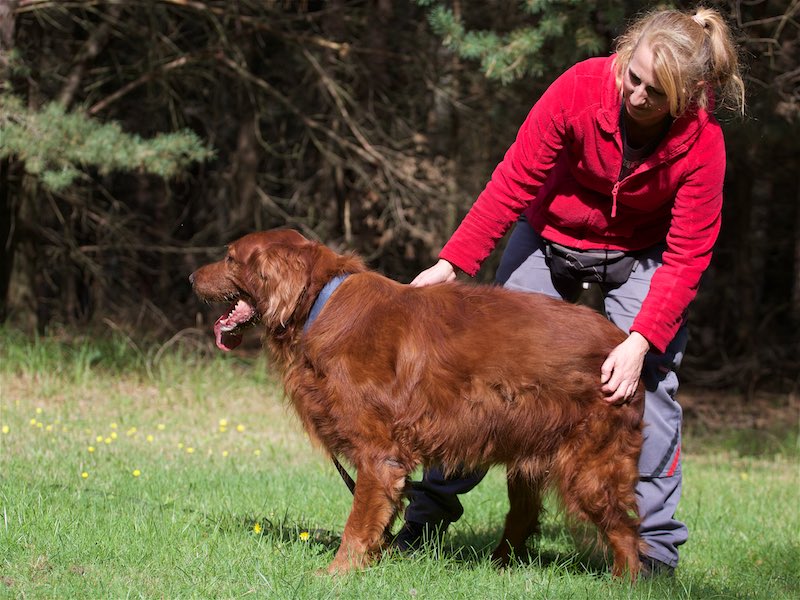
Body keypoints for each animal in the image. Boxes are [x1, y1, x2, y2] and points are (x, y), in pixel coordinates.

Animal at [190, 228, 644, 578]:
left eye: (230, 258)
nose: (192, 277)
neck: (323, 303)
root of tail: (621, 345)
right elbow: (381, 517)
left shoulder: (379, 455)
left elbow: (357, 523)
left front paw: (337, 573)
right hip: (530, 457)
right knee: (524, 517)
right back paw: (498, 568)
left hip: (589, 470)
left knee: (626, 533)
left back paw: (627, 583)